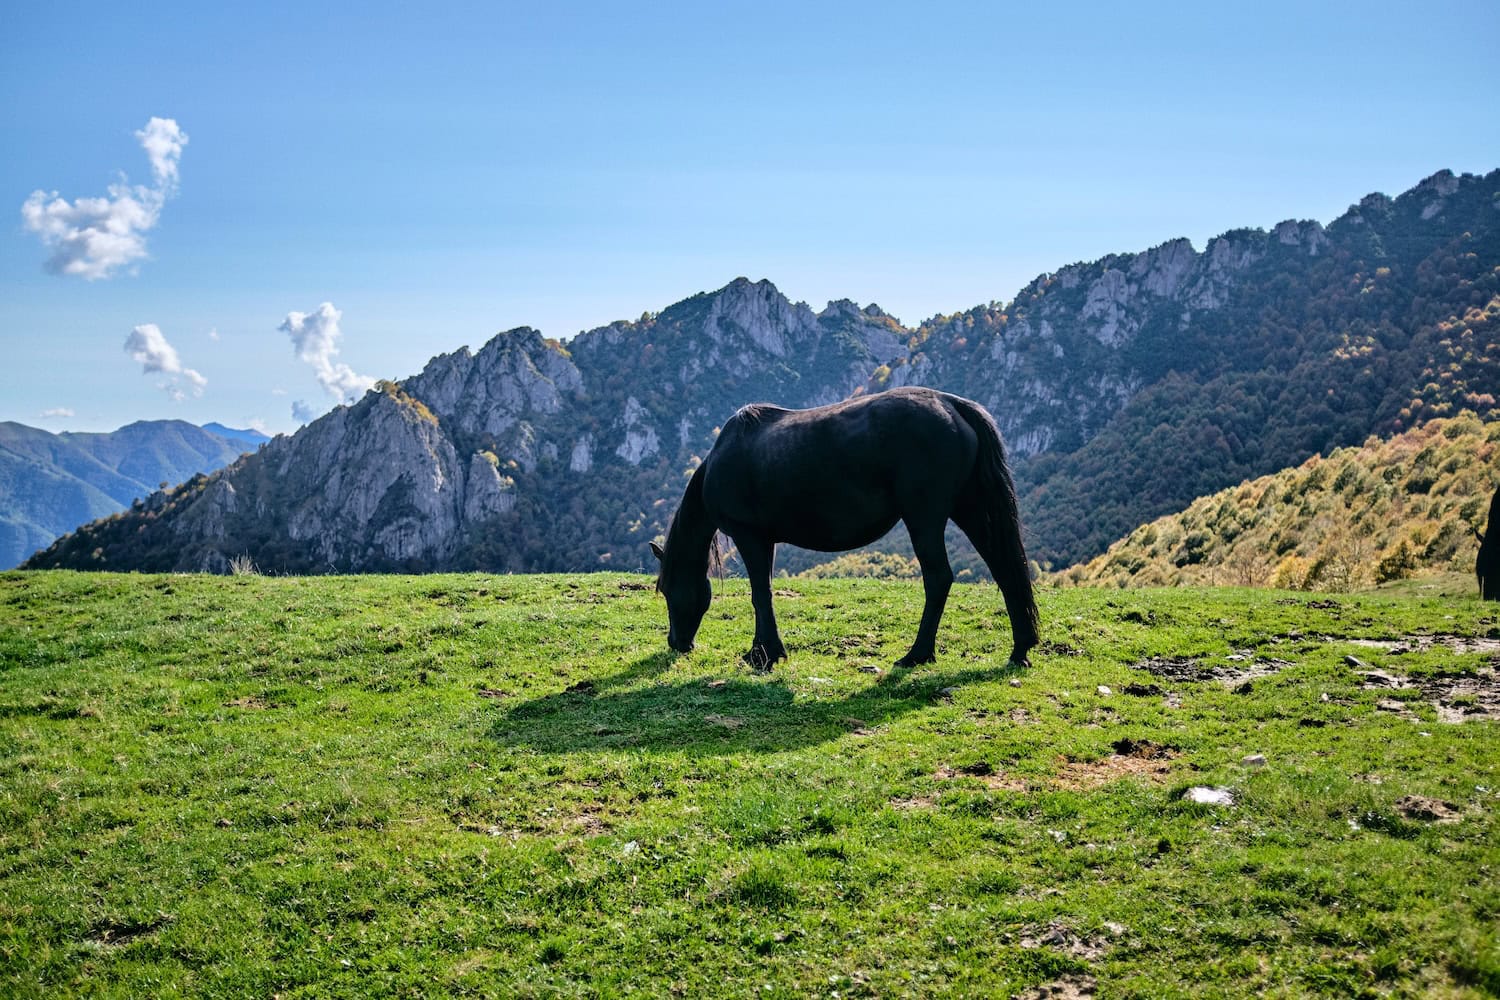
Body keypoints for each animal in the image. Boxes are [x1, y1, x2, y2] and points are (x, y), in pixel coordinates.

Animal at [650, 386, 1041, 669]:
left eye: (667, 589)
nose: (677, 643)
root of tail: (952, 405)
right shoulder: (765, 541)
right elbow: (766, 592)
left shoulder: (751, 538)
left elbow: (760, 593)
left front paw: (763, 654)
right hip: (971, 511)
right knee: (1005, 570)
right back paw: (1020, 649)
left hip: (924, 518)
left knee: (939, 578)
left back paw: (917, 654)